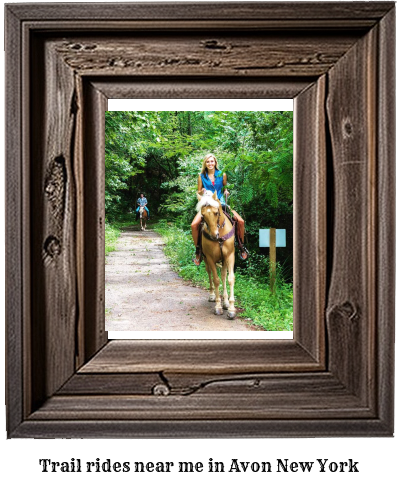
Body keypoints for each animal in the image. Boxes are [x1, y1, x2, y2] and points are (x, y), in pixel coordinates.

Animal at [198, 191, 238, 320]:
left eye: (216, 213)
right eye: (203, 215)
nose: (214, 235)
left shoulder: (230, 256)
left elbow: (230, 278)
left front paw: (231, 308)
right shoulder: (210, 258)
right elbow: (216, 280)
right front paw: (218, 306)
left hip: (224, 260)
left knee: (224, 276)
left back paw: (225, 302)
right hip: (206, 259)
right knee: (210, 273)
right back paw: (212, 296)